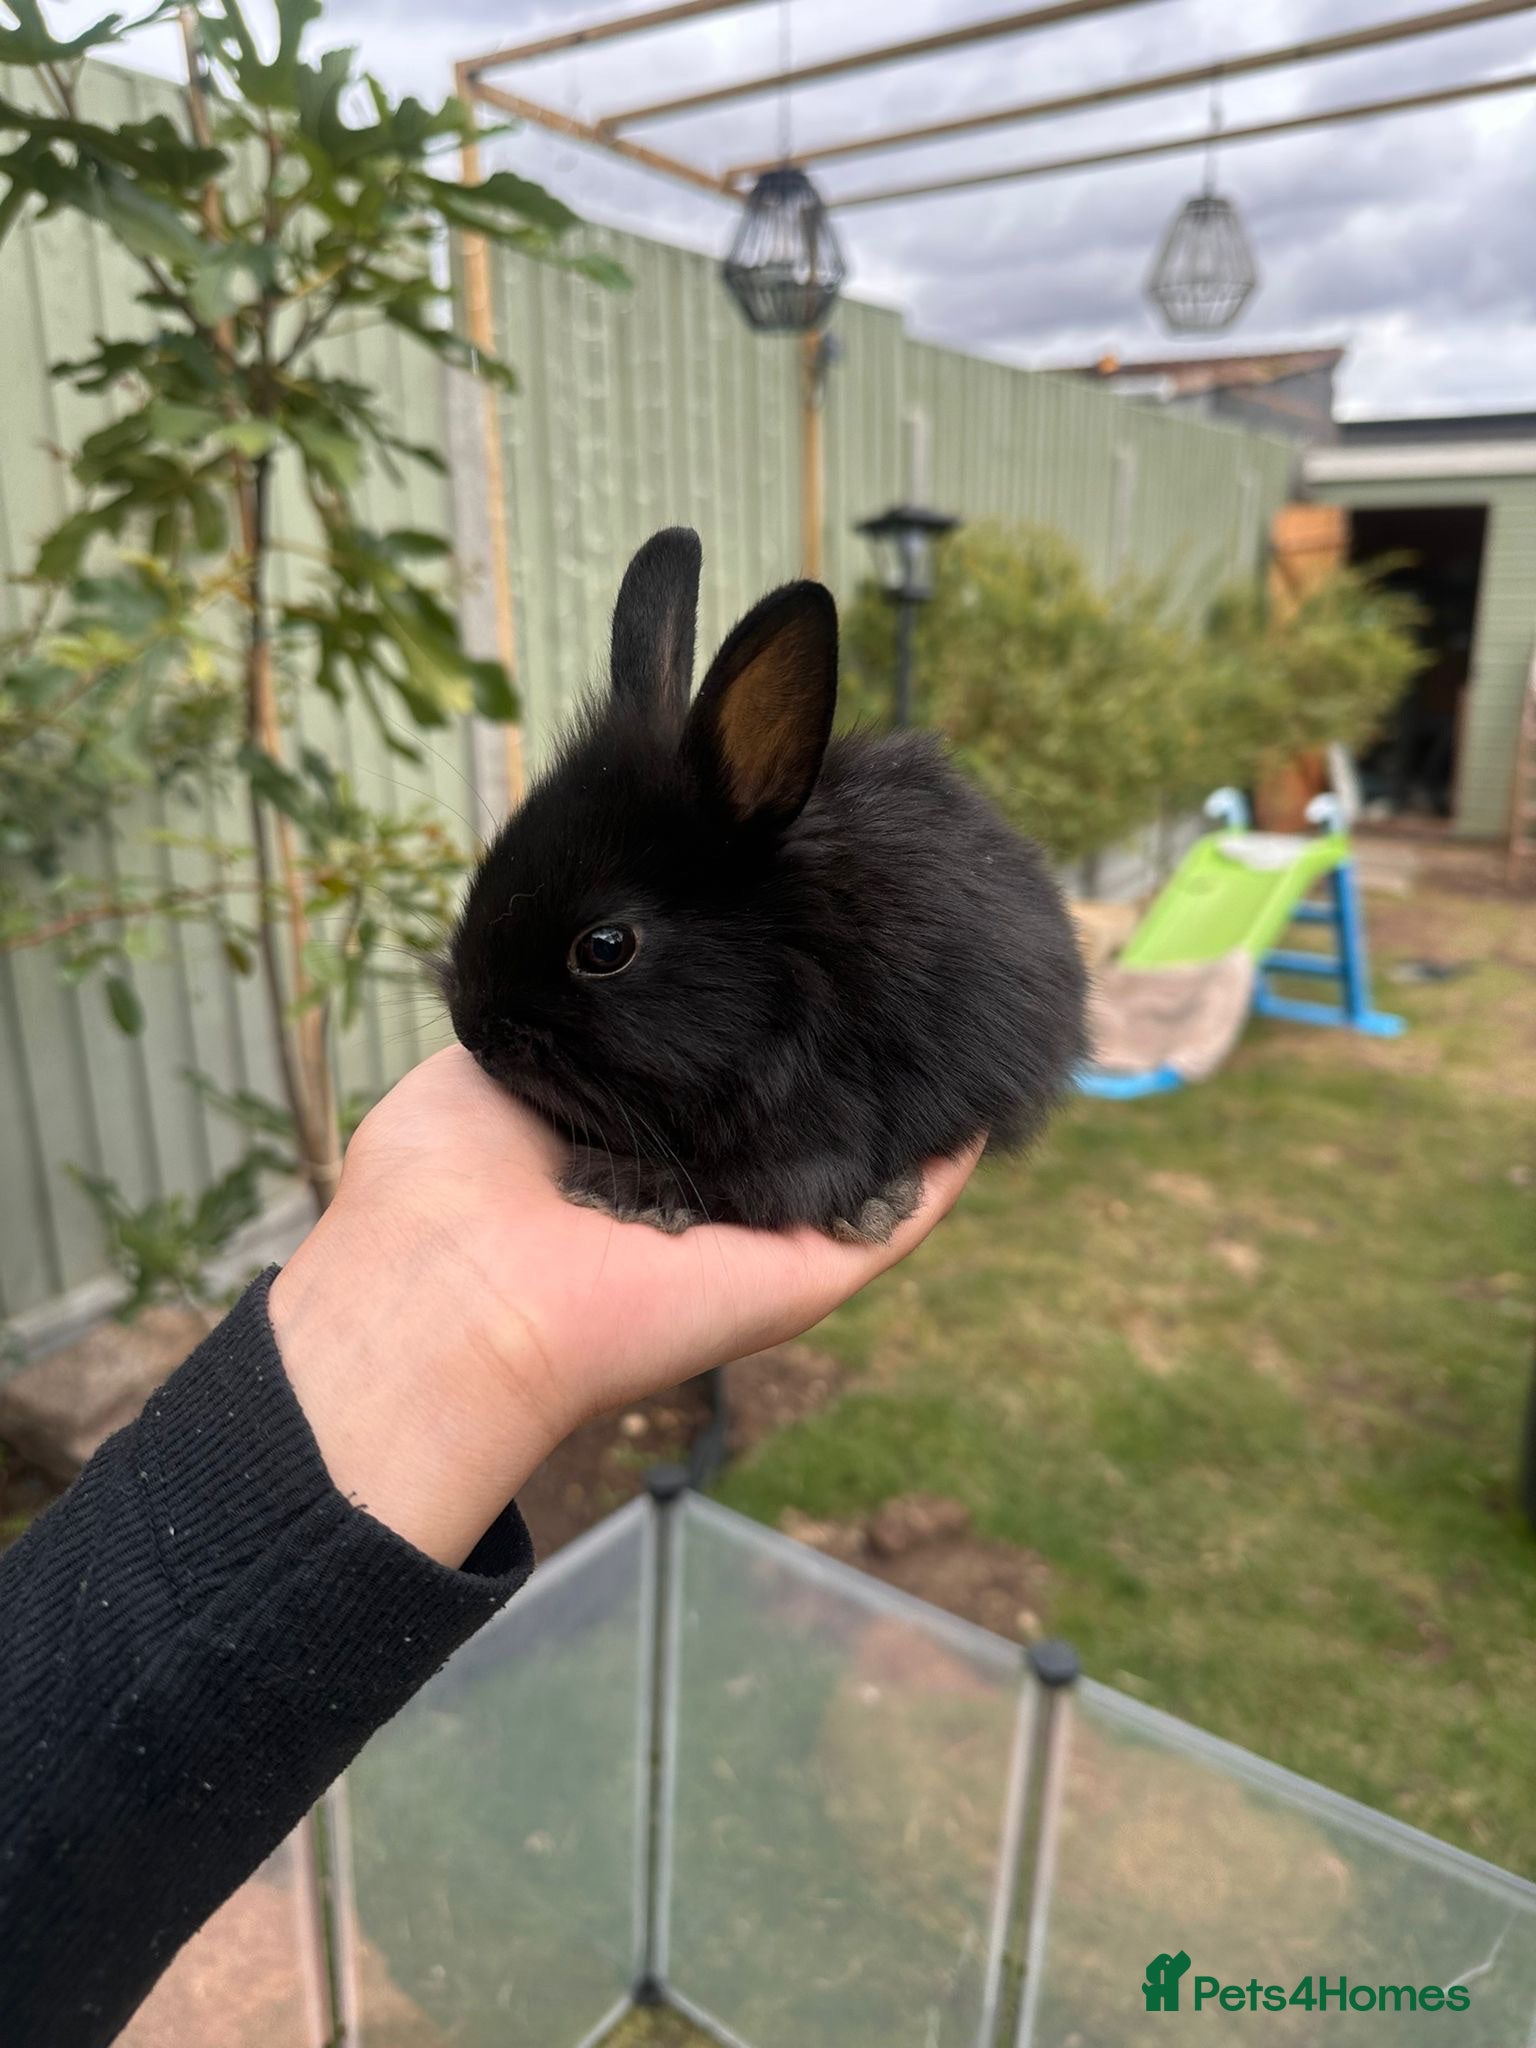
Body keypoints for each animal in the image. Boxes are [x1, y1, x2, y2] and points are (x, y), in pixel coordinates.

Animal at [444, 527, 1087, 1243]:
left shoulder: (818, 1133)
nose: (474, 1032)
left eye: (605, 948)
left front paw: (621, 1188)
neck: (786, 973)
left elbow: (757, 1187)